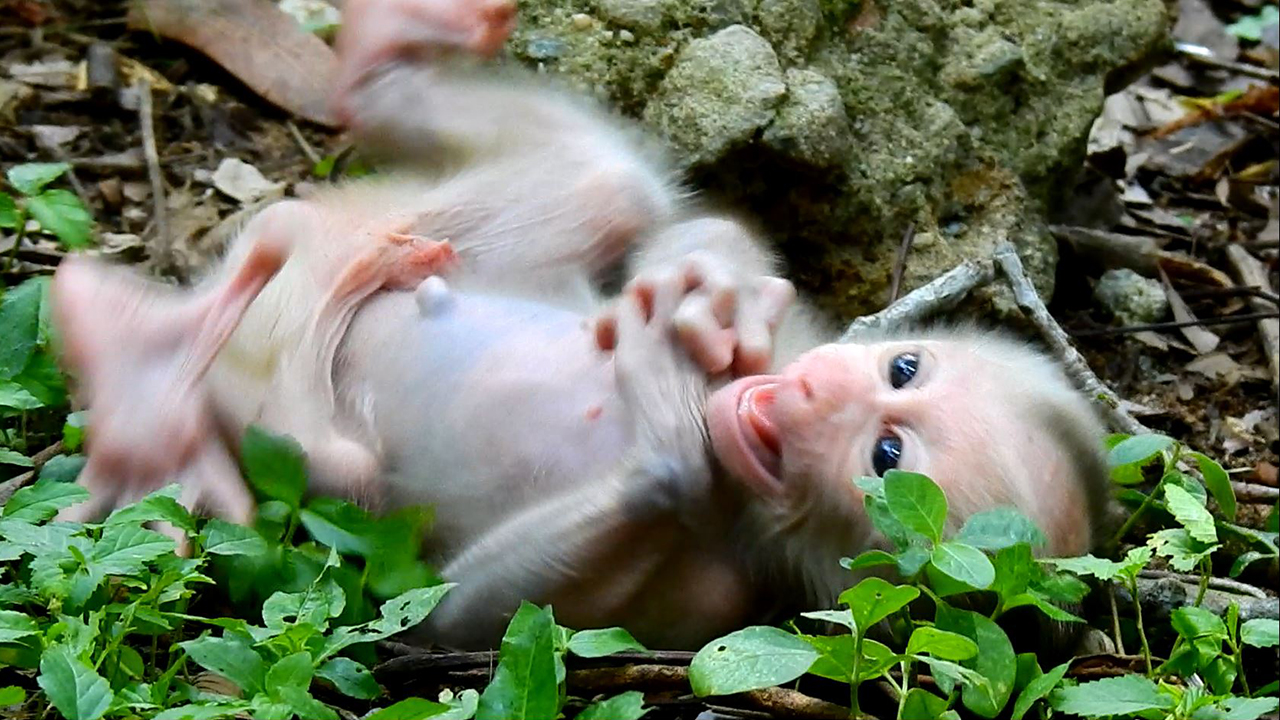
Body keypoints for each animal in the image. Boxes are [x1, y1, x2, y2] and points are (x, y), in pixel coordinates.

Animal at [52, 0, 1111, 650]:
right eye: (901, 368)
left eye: (887, 456)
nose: (816, 388)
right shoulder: (790, 342)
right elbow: (703, 249)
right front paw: (704, 295)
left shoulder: (722, 602)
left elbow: (458, 620)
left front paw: (672, 434)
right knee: (611, 188)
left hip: (292, 395)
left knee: (333, 454)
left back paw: (154, 381)